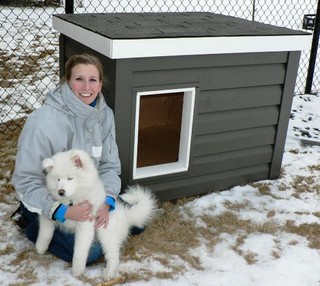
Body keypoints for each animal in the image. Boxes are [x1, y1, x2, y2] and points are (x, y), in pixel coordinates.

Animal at [35, 150, 157, 280]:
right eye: (58, 179)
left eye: (70, 178)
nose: (61, 192)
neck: (71, 201)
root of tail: (126, 215)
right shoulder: (50, 215)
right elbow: (45, 232)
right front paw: (40, 247)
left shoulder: (85, 225)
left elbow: (80, 250)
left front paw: (77, 270)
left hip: (105, 230)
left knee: (113, 255)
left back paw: (108, 273)